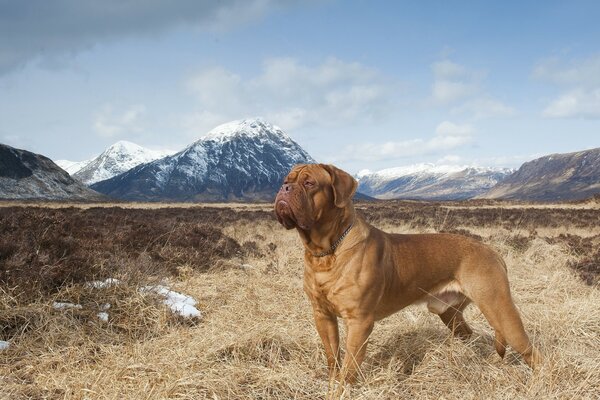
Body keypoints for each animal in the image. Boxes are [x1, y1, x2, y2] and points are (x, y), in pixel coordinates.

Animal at [274, 164, 540, 382]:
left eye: (309, 183)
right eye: (287, 180)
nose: (284, 188)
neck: (327, 252)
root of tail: (493, 251)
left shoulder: (359, 322)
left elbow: (349, 367)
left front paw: (343, 389)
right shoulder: (323, 316)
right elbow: (333, 358)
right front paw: (331, 383)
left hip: (499, 309)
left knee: (531, 352)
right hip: (449, 313)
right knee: (468, 333)